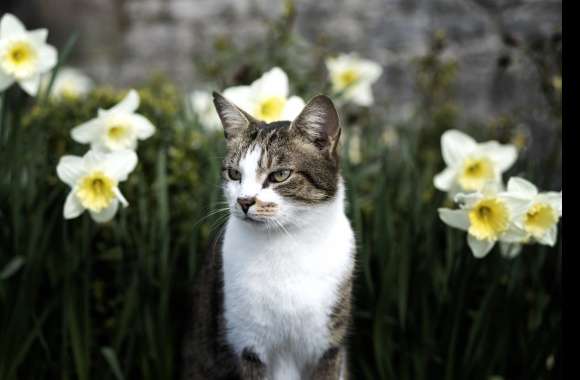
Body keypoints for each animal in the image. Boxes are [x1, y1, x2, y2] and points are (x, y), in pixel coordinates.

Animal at [181, 92, 356, 380]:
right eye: (234, 174)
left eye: (280, 175)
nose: (244, 201)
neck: (286, 242)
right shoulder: (247, 346)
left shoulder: (328, 347)